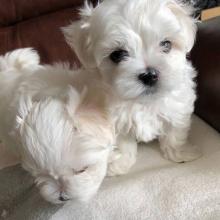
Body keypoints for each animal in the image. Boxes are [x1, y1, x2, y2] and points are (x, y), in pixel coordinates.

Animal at [63, 0, 201, 175]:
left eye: (166, 44)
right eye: (117, 55)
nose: (149, 75)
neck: (144, 102)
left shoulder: (178, 109)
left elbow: (175, 133)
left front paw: (181, 153)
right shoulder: (116, 120)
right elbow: (124, 142)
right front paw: (121, 163)